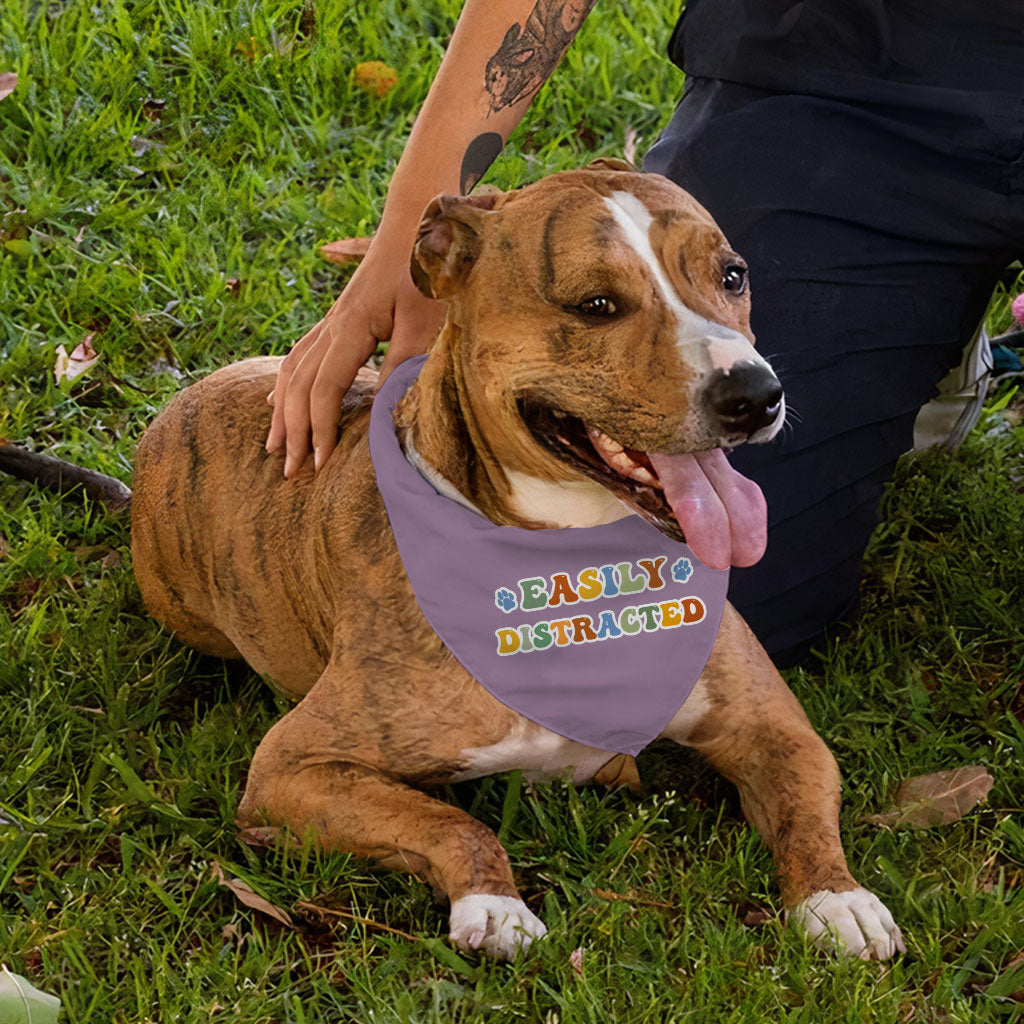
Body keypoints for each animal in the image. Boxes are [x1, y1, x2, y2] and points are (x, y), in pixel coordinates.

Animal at [130, 165, 905, 958]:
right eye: (596, 305)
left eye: (733, 275)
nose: (755, 393)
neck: (579, 570)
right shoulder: (293, 766)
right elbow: (451, 821)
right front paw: (493, 904)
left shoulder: (774, 727)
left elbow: (805, 807)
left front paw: (837, 897)